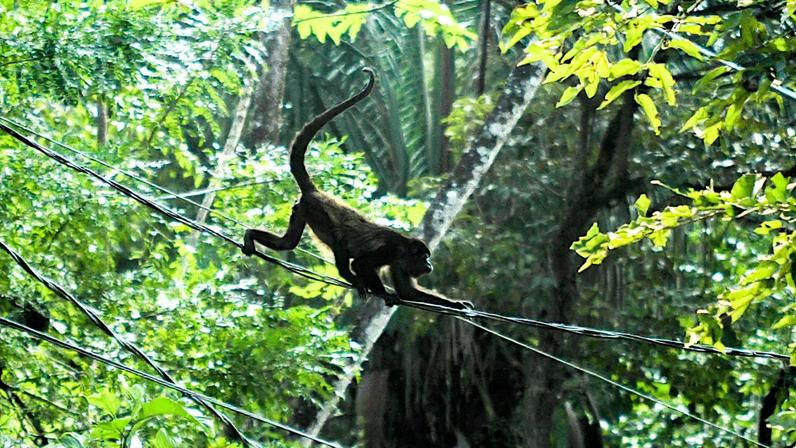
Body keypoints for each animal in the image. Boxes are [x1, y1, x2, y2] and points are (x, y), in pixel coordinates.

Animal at [242, 68, 472, 310]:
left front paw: (458, 304)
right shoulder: (390, 251)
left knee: (288, 242)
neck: (404, 248)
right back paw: (351, 277)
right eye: (424, 256)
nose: (430, 264)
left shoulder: (399, 263)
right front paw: (384, 293)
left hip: (301, 209)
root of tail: (315, 191)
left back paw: (251, 235)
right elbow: (362, 264)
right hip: (317, 211)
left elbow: (408, 291)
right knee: (340, 240)